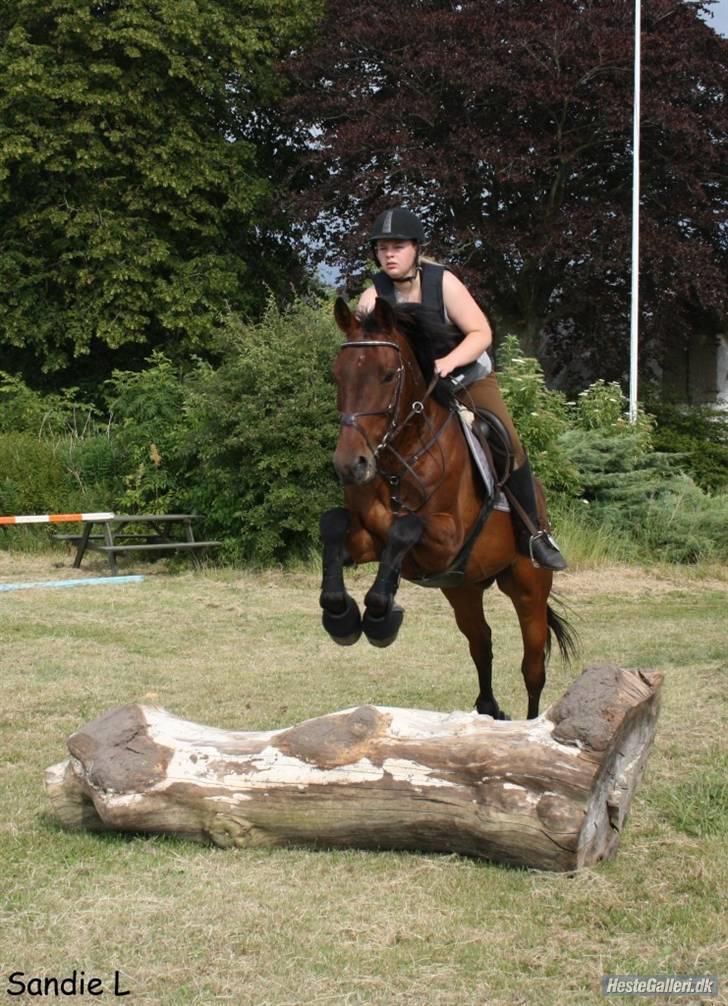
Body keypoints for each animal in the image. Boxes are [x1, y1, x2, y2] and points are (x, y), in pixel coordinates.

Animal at [319, 295, 577, 719]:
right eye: (337, 376)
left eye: (387, 376)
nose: (350, 465)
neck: (401, 457)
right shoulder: (371, 540)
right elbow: (335, 524)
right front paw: (340, 615)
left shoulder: (448, 539)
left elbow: (404, 528)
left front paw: (379, 616)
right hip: (463, 588)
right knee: (482, 643)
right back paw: (489, 709)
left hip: (529, 588)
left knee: (533, 667)